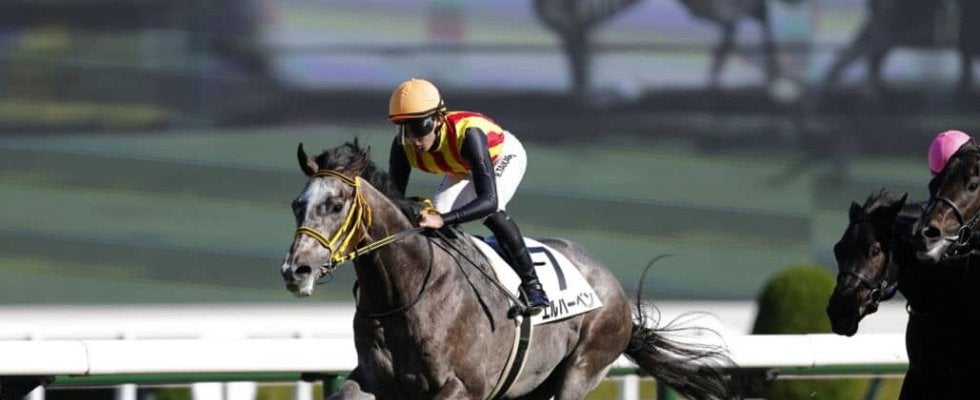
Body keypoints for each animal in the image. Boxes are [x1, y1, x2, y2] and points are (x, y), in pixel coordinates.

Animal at [278, 140, 735, 399]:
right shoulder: (374, 381)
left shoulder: (462, 388)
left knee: (496, 208)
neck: (404, 291)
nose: (295, 270)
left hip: (582, 368)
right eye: (297, 205)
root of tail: (611, 287)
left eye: (335, 204)